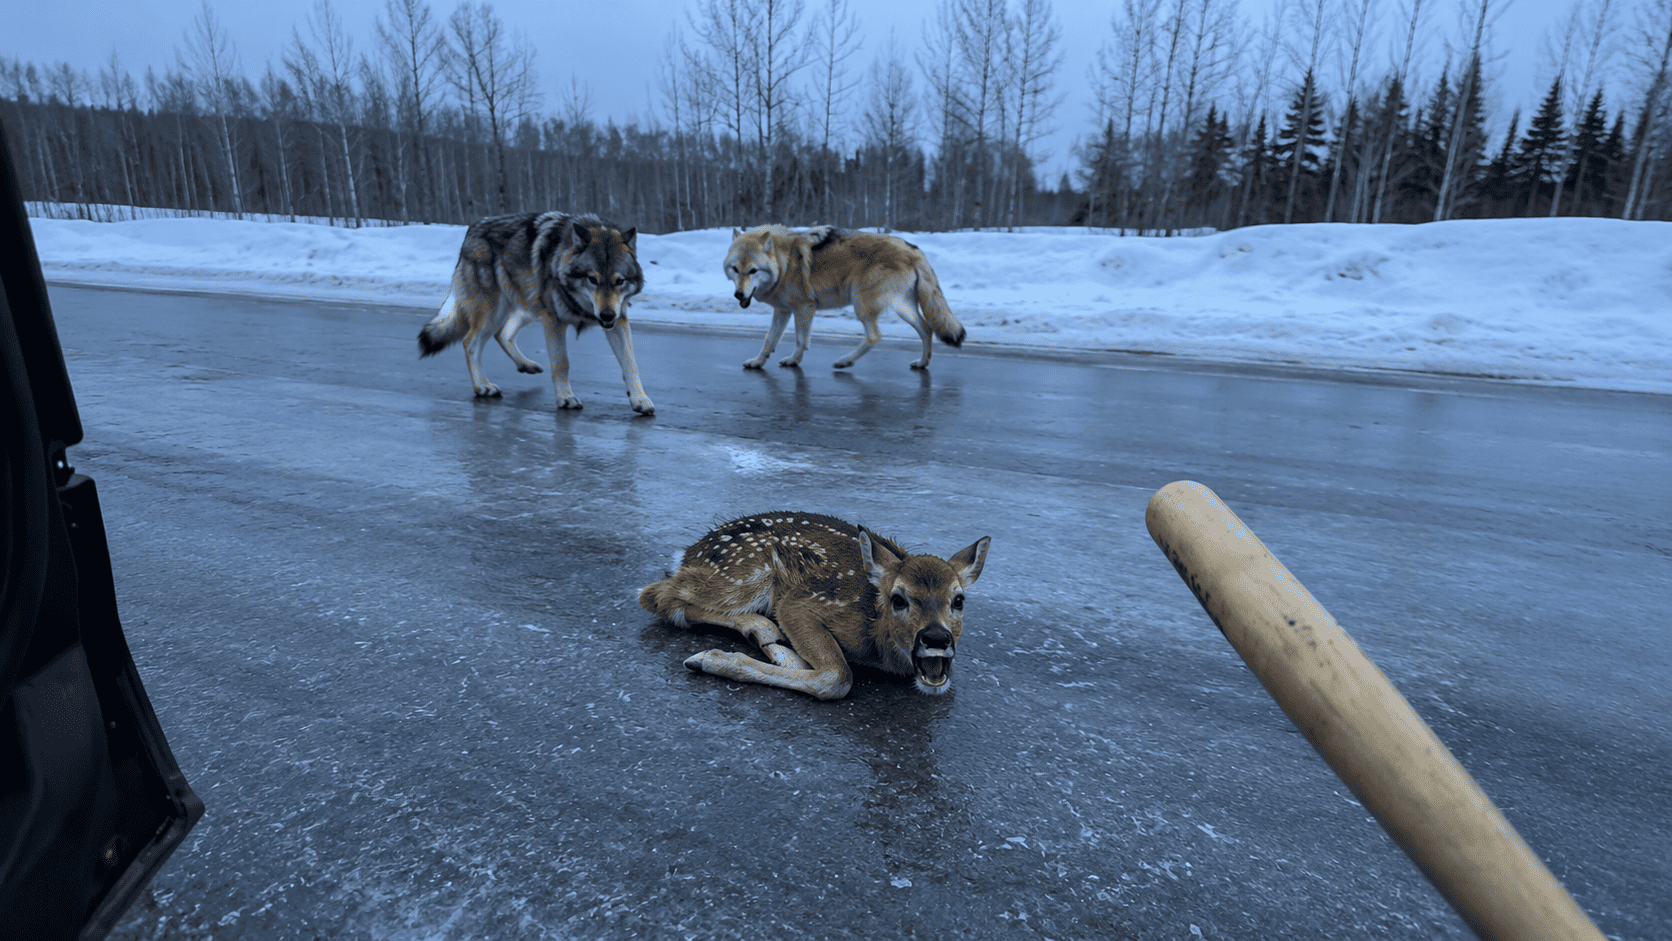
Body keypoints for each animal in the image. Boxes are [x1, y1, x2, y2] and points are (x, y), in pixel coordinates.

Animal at [418, 211, 654, 415]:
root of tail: (473, 228)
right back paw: (483, 386)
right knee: (470, 342)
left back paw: (526, 365)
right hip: (496, 311)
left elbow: (631, 364)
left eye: (619, 281)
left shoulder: (619, 319)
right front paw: (566, 398)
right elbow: (561, 363)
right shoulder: (554, 319)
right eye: (592, 279)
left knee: (502, 334)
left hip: (527, 307)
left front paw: (640, 400)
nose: (606, 315)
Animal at [638, 512, 990, 700]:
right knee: (657, 595)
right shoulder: (801, 603)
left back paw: (770, 640)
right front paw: (710, 660)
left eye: (958, 600)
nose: (936, 638)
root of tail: (689, 552)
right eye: (898, 599)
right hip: (746, 574)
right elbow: (838, 677)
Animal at [723, 225, 967, 370]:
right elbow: (769, 340)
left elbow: (801, 340)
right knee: (926, 329)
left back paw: (845, 361)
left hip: (861, 304)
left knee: (875, 337)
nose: (739, 294)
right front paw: (758, 362)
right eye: (735, 269)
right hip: (902, 308)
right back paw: (922, 363)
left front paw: (794, 360)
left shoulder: (804, 307)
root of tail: (915, 250)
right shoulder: (783, 311)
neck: (784, 264)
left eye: (753, 271)